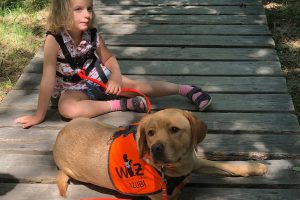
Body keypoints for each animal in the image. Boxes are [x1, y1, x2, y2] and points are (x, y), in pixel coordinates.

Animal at [54, 108, 268, 199]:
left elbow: (227, 165)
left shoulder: (194, 162)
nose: (156, 148)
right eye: (150, 133)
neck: (178, 164)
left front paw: (255, 167)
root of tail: (57, 139)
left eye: (174, 129)